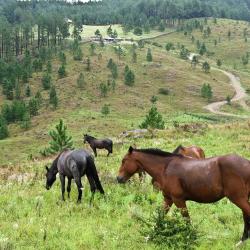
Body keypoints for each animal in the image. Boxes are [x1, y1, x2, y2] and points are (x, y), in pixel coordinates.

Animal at [117, 146, 250, 244]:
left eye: (124, 161)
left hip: (238, 198)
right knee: (245, 216)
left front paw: (190, 237)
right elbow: (160, 216)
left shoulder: (178, 200)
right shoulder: (168, 199)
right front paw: (150, 236)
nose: (118, 178)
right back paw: (243, 240)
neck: (165, 168)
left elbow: (186, 220)